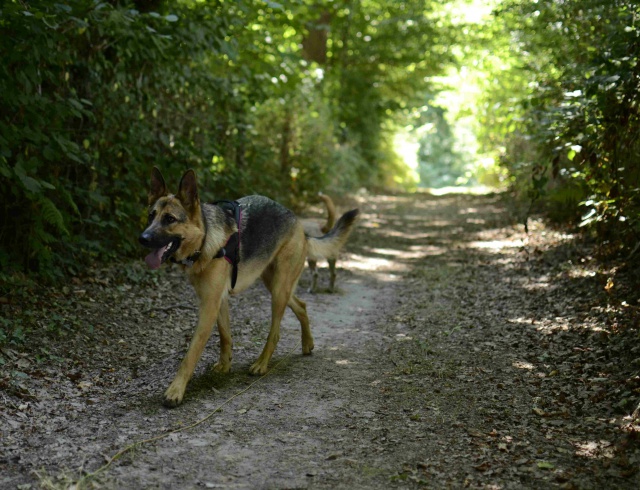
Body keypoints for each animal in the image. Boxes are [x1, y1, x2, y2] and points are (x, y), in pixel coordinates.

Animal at [139, 168, 358, 406]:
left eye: (169, 219)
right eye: (151, 215)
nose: (142, 238)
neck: (205, 239)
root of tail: (301, 226)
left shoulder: (209, 305)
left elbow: (192, 352)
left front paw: (176, 390)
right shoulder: (218, 301)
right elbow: (225, 336)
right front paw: (225, 365)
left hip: (279, 289)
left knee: (275, 333)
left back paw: (262, 363)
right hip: (275, 284)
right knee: (301, 305)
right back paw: (307, 343)